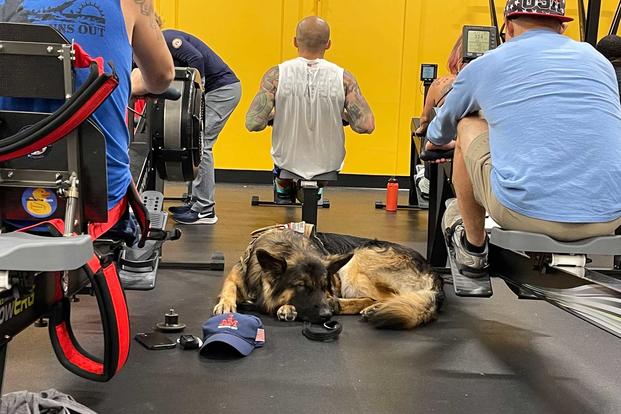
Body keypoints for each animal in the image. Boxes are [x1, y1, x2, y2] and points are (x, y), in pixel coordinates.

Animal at [213, 228, 440, 328]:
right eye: (301, 286)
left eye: (324, 286)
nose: (326, 315)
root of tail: (432, 270)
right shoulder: (238, 275)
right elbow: (229, 286)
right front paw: (226, 304)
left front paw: (286, 308)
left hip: (358, 261)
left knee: (386, 298)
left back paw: (365, 307)